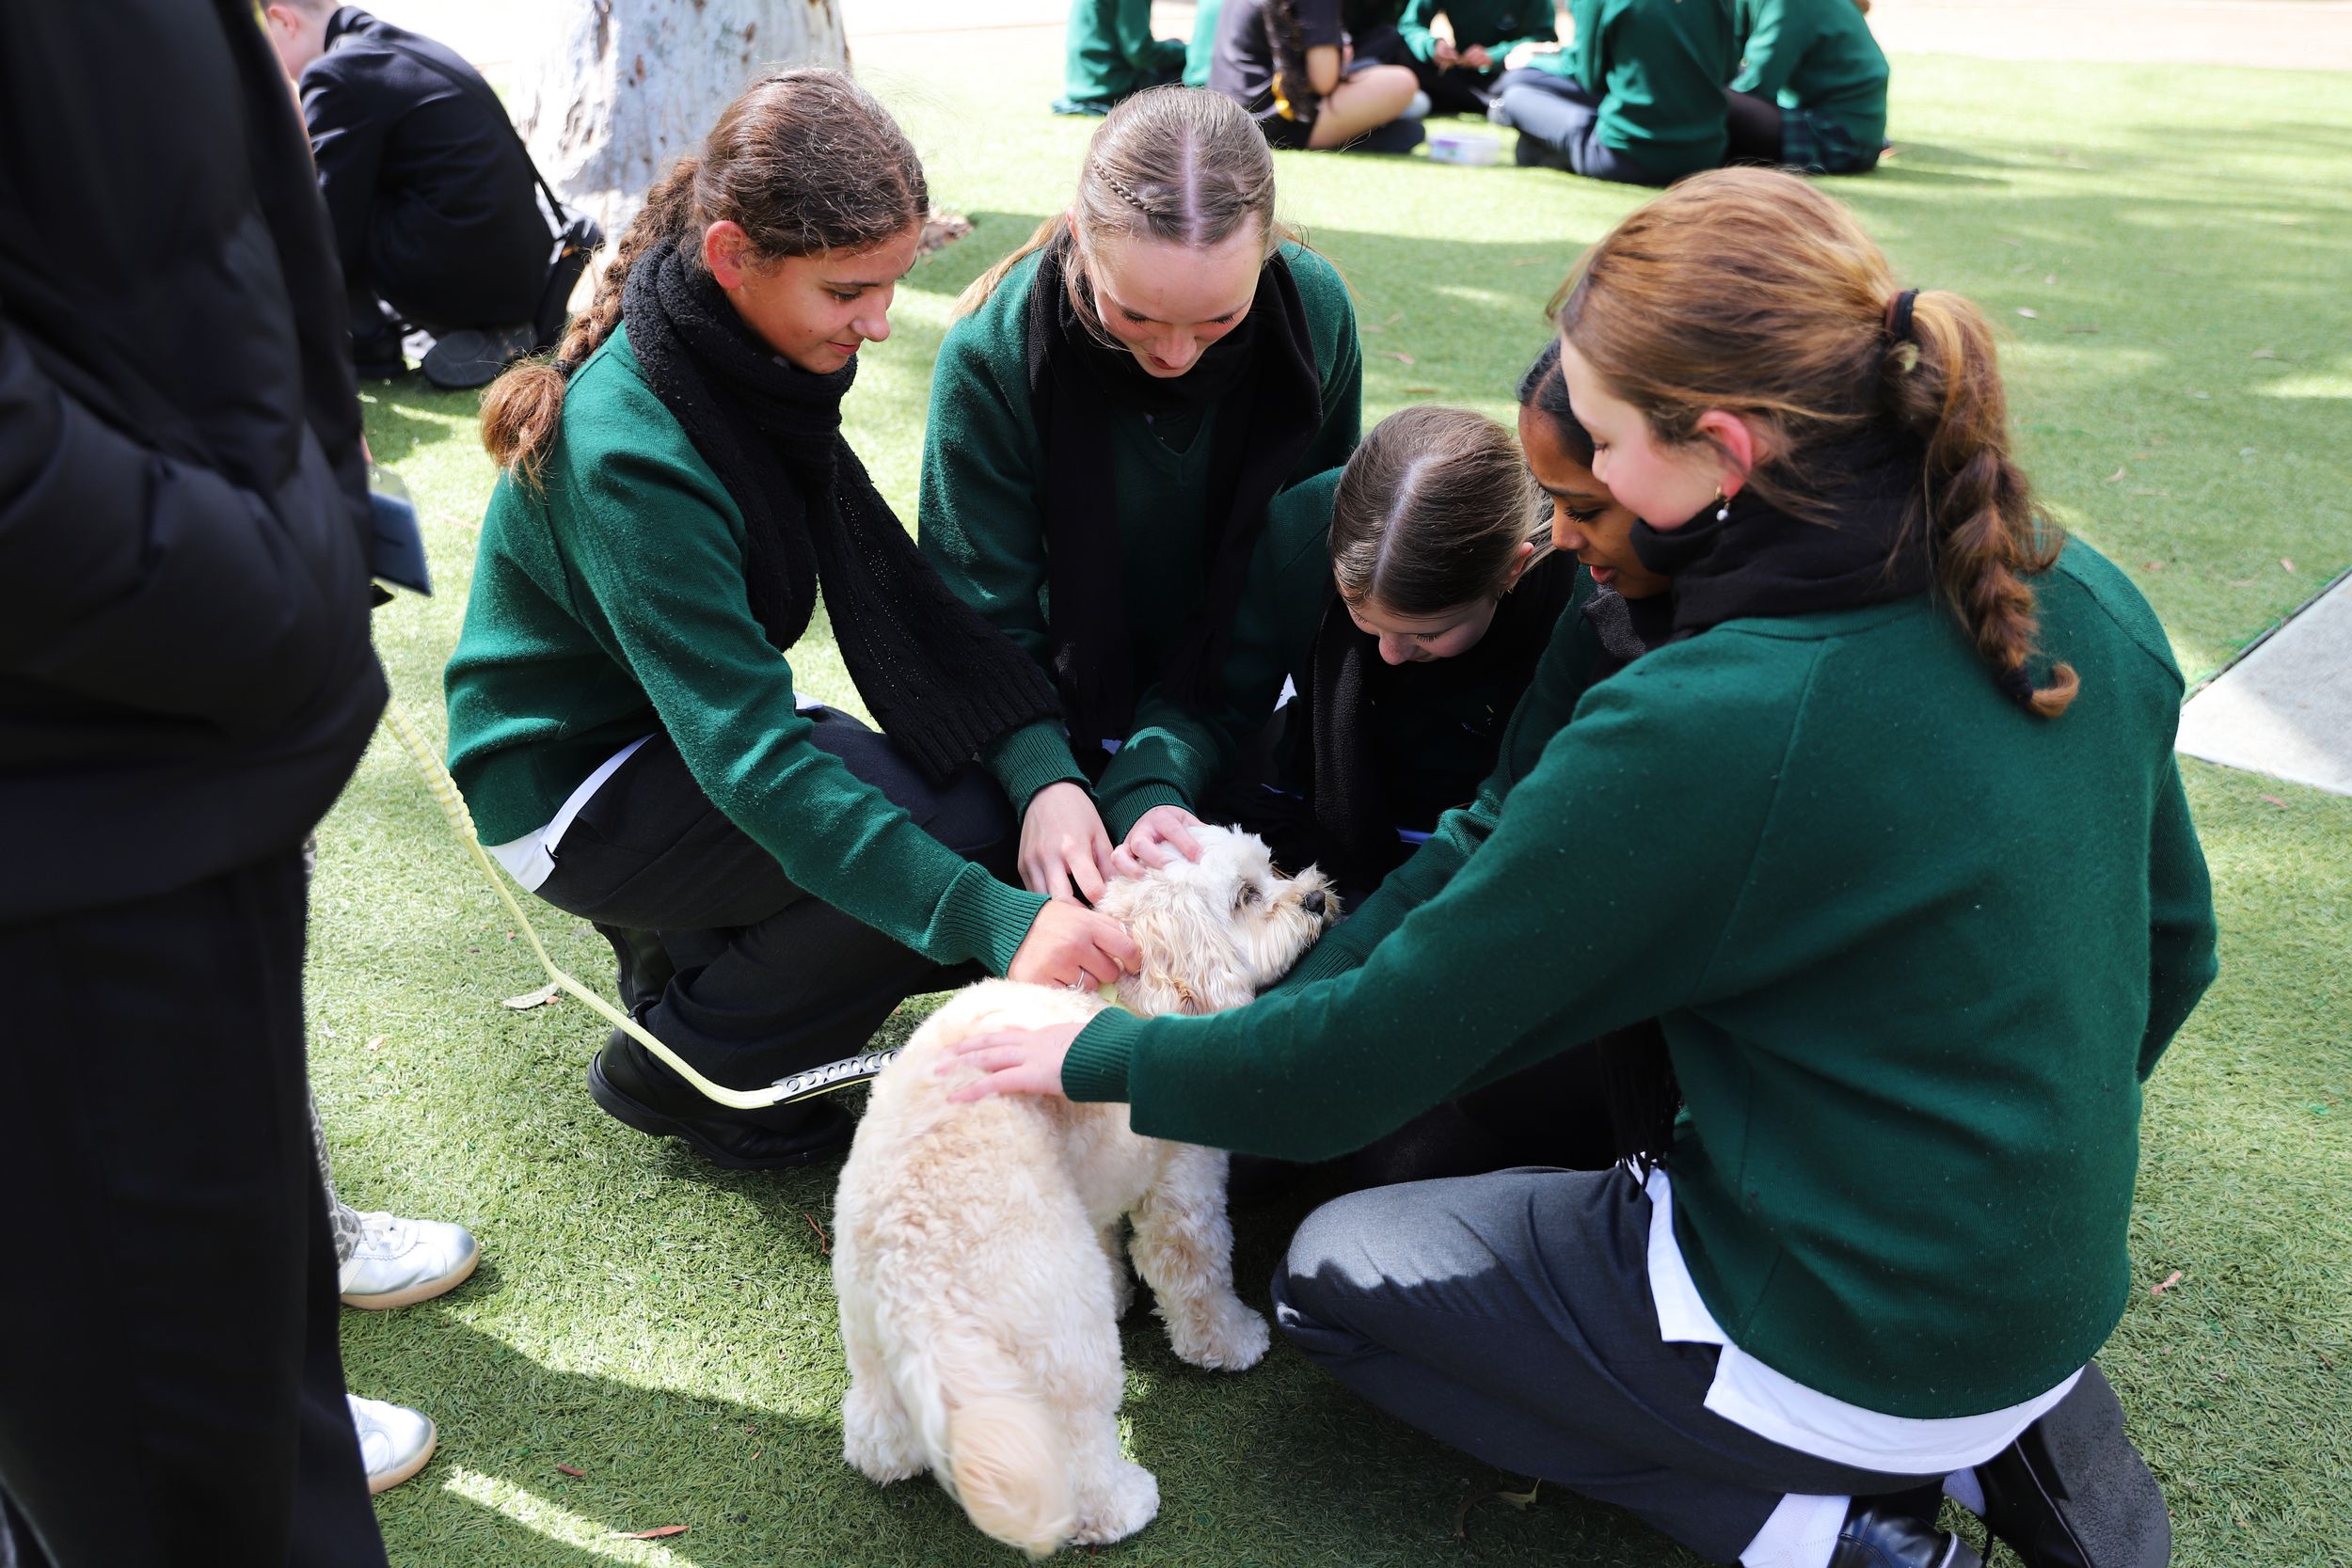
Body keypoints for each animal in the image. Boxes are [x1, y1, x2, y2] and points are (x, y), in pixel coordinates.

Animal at [831, 826, 1336, 1556]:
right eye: (1246, 896)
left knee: (876, 1425)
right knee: (1073, 1447)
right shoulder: (1182, 1187)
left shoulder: (1090, 1180)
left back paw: (893, 1460)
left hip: (871, 1336)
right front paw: (1232, 1342)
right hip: (1062, 1337)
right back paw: (1121, 1506)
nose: (1317, 897)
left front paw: (1127, 1292)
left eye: (1272, 865)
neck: (1126, 992)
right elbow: (1194, 1273)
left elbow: (1107, 1239)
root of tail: (914, 1275)